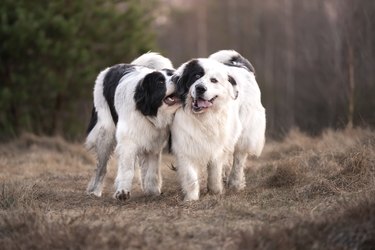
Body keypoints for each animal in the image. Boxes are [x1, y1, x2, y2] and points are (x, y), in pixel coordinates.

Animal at [85, 53, 181, 201]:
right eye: (160, 82)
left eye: (172, 74)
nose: (177, 78)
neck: (146, 111)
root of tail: (109, 69)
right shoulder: (128, 142)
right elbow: (127, 168)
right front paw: (122, 191)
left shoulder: (153, 144)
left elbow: (152, 169)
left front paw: (152, 191)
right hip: (105, 134)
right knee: (101, 167)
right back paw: (95, 191)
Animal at [172, 51, 266, 201]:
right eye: (196, 76)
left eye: (214, 80)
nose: (200, 88)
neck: (204, 117)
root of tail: (238, 63)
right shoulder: (185, 143)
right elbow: (190, 174)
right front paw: (191, 199)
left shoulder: (218, 144)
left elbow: (215, 169)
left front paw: (215, 190)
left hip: (246, 133)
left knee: (239, 158)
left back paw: (235, 183)